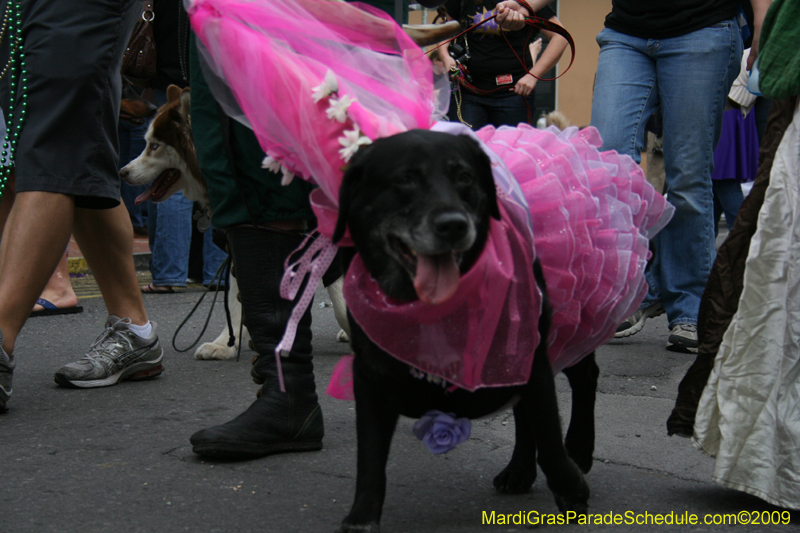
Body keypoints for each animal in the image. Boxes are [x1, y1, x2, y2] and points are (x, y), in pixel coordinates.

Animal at [328, 130, 596, 532]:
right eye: (405, 178)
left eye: (465, 177)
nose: (453, 224)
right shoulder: (371, 375)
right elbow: (370, 454)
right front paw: (362, 515)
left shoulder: (530, 356)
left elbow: (549, 431)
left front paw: (570, 487)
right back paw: (519, 470)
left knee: (583, 378)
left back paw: (579, 447)